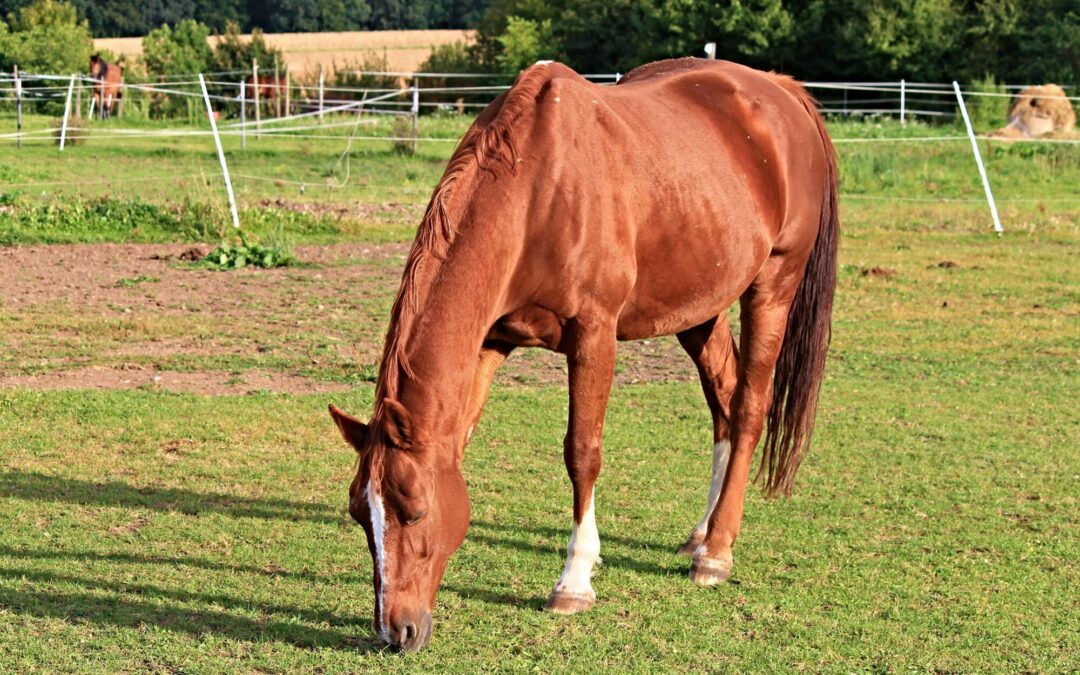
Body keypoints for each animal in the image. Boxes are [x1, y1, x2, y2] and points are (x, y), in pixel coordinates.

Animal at [328, 57, 839, 652]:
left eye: (414, 509)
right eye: (359, 513)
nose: (396, 630)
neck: (537, 191)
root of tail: (777, 88)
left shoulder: (593, 335)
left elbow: (582, 453)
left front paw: (574, 581)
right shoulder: (491, 341)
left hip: (772, 286)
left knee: (751, 406)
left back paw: (716, 552)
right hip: (698, 309)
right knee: (725, 401)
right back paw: (701, 533)